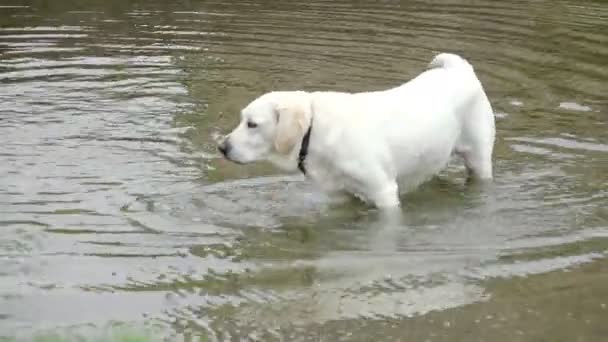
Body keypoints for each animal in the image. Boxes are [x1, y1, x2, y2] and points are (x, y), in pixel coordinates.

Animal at [218, 52, 494, 208]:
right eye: (242, 119)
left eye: (252, 124)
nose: (221, 147)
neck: (315, 132)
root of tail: (459, 68)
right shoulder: (342, 193)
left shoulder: (384, 192)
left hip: (479, 158)